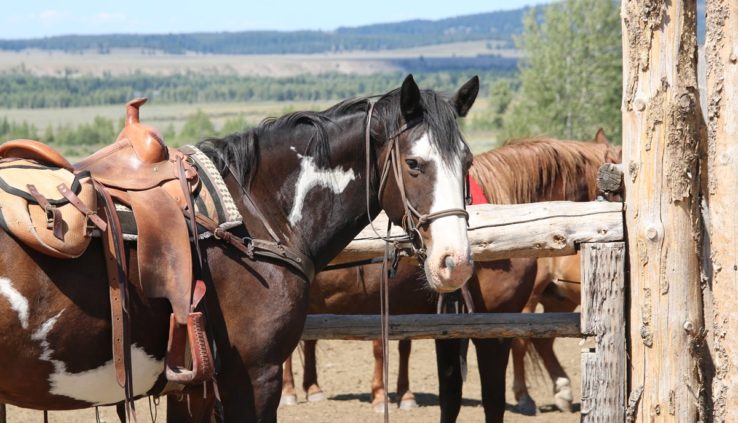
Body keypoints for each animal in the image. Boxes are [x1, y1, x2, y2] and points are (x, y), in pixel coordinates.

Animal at [0, 74, 478, 422]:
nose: (454, 263)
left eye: (468, 162)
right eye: (414, 164)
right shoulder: (255, 375)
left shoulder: (192, 386)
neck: (259, 215)